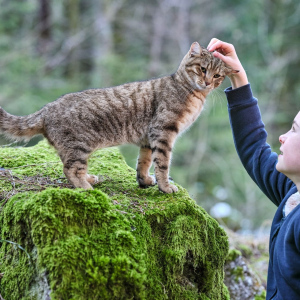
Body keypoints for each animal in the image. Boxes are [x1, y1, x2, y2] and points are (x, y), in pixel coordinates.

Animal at [0, 41, 239, 192]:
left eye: (217, 75)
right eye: (202, 69)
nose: (207, 82)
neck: (193, 95)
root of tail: (47, 108)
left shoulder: (148, 138)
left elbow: (144, 162)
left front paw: (145, 181)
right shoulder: (163, 132)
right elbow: (162, 164)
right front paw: (165, 187)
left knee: (71, 166)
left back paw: (90, 179)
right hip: (79, 145)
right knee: (70, 169)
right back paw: (86, 188)